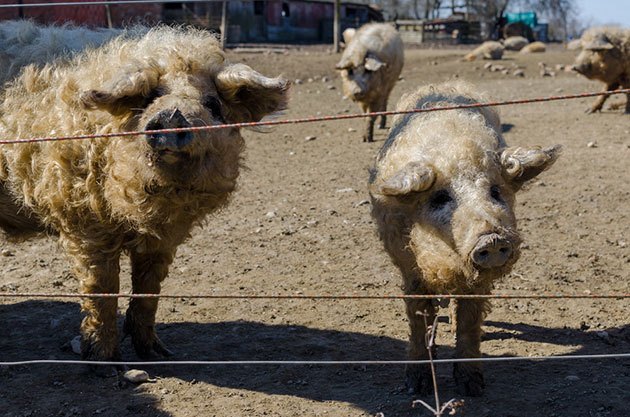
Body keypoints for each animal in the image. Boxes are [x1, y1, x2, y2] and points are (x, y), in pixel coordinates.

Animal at [0, 25, 290, 368]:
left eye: (212, 104)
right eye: (152, 96)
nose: (173, 115)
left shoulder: (166, 236)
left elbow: (149, 287)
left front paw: (157, 354)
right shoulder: (82, 220)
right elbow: (102, 288)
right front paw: (105, 364)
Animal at [370, 82, 564, 396]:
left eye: (496, 192)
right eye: (440, 198)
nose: (492, 240)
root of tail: (443, 84)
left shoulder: (479, 281)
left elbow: (470, 321)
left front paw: (472, 387)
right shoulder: (407, 265)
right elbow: (418, 317)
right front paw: (417, 387)